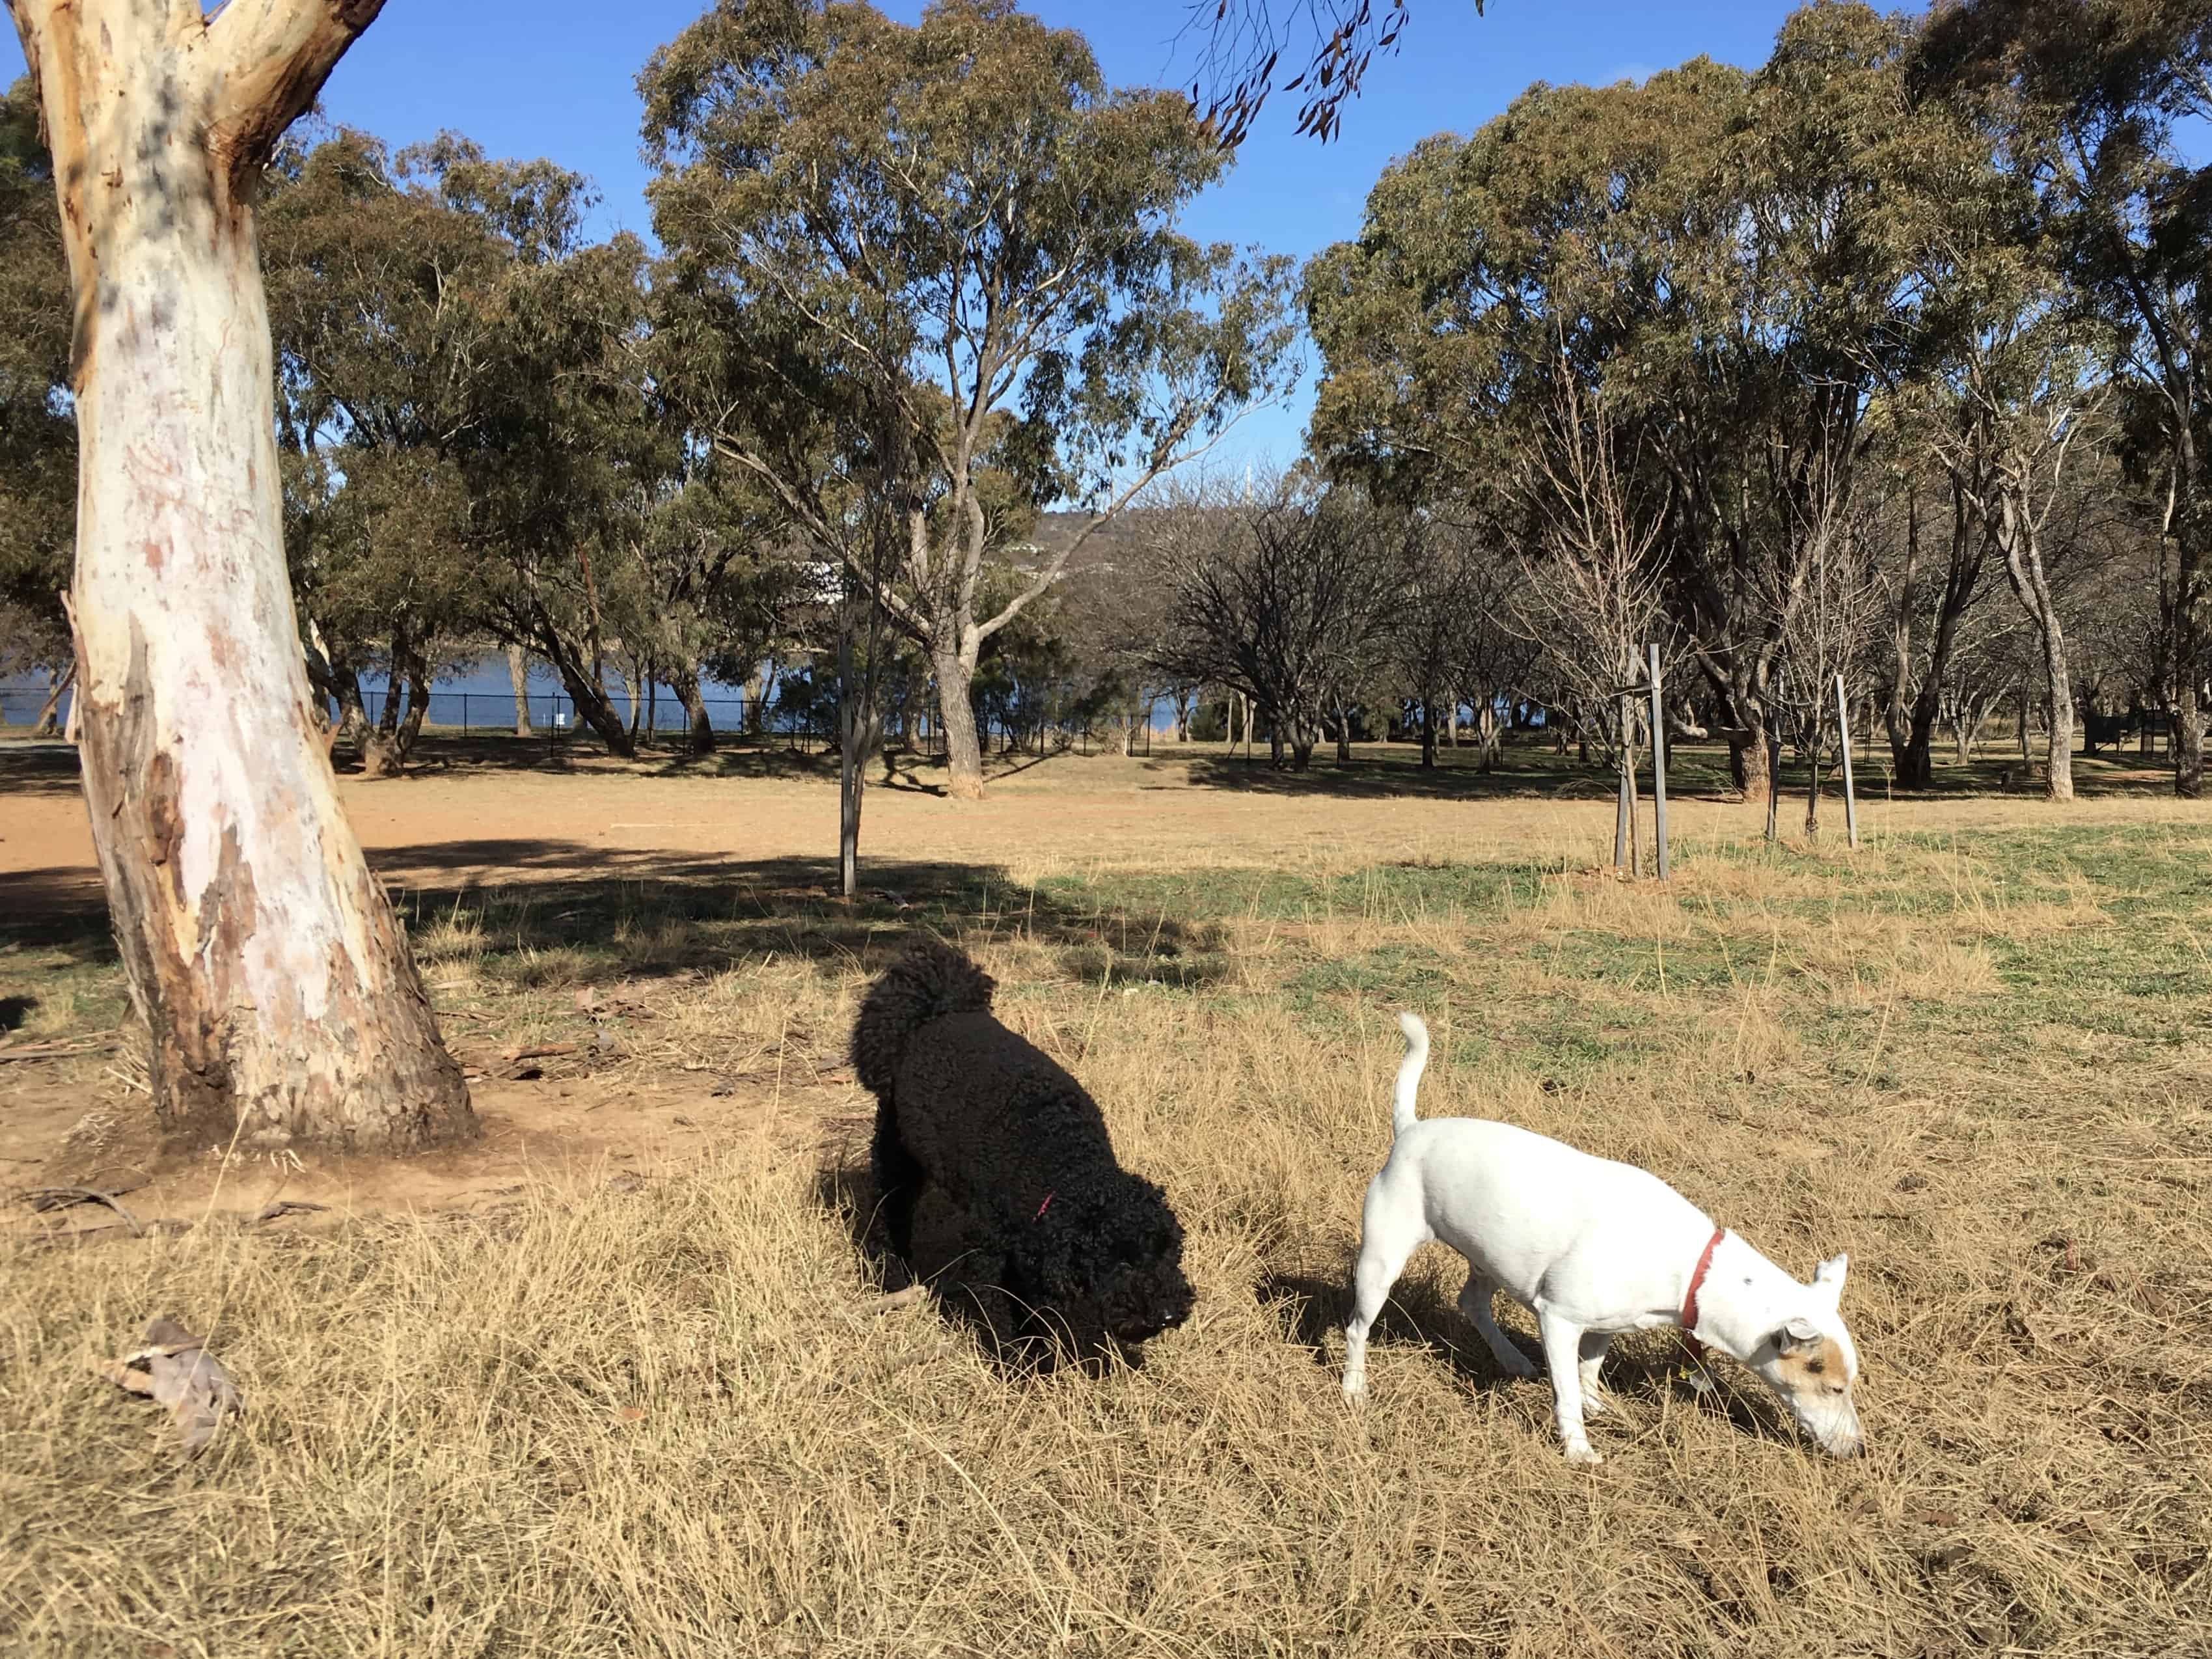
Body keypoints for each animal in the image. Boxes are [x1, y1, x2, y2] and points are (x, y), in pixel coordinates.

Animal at [849, 942, 1194, 1371]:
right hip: (895, 1152)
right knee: (886, 1210)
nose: (1167, 1313)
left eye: (1170, 1251)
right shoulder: (989, 1253)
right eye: (1123, 1262)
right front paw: (1012, 1363)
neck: (1056, 1159)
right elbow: (998, 1311)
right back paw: (889, 1274)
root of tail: (939, 1010)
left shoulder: (1031, 1250)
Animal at [1335, 1013, 1858, 1468]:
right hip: (1381, 1262)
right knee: (1358, 1328)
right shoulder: (1558, 1319)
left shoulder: (1607, 1325)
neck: (1696, 1271)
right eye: (1835, 1388)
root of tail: (1410, 1130)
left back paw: (1511, 1358)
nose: (1858, 1448)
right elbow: (1566, 1390)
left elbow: (1588, 1370)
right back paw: (1354, 1387)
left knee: (1472, 1303)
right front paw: (1578, 1448)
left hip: (1489, 1257)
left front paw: (1596, 1404)